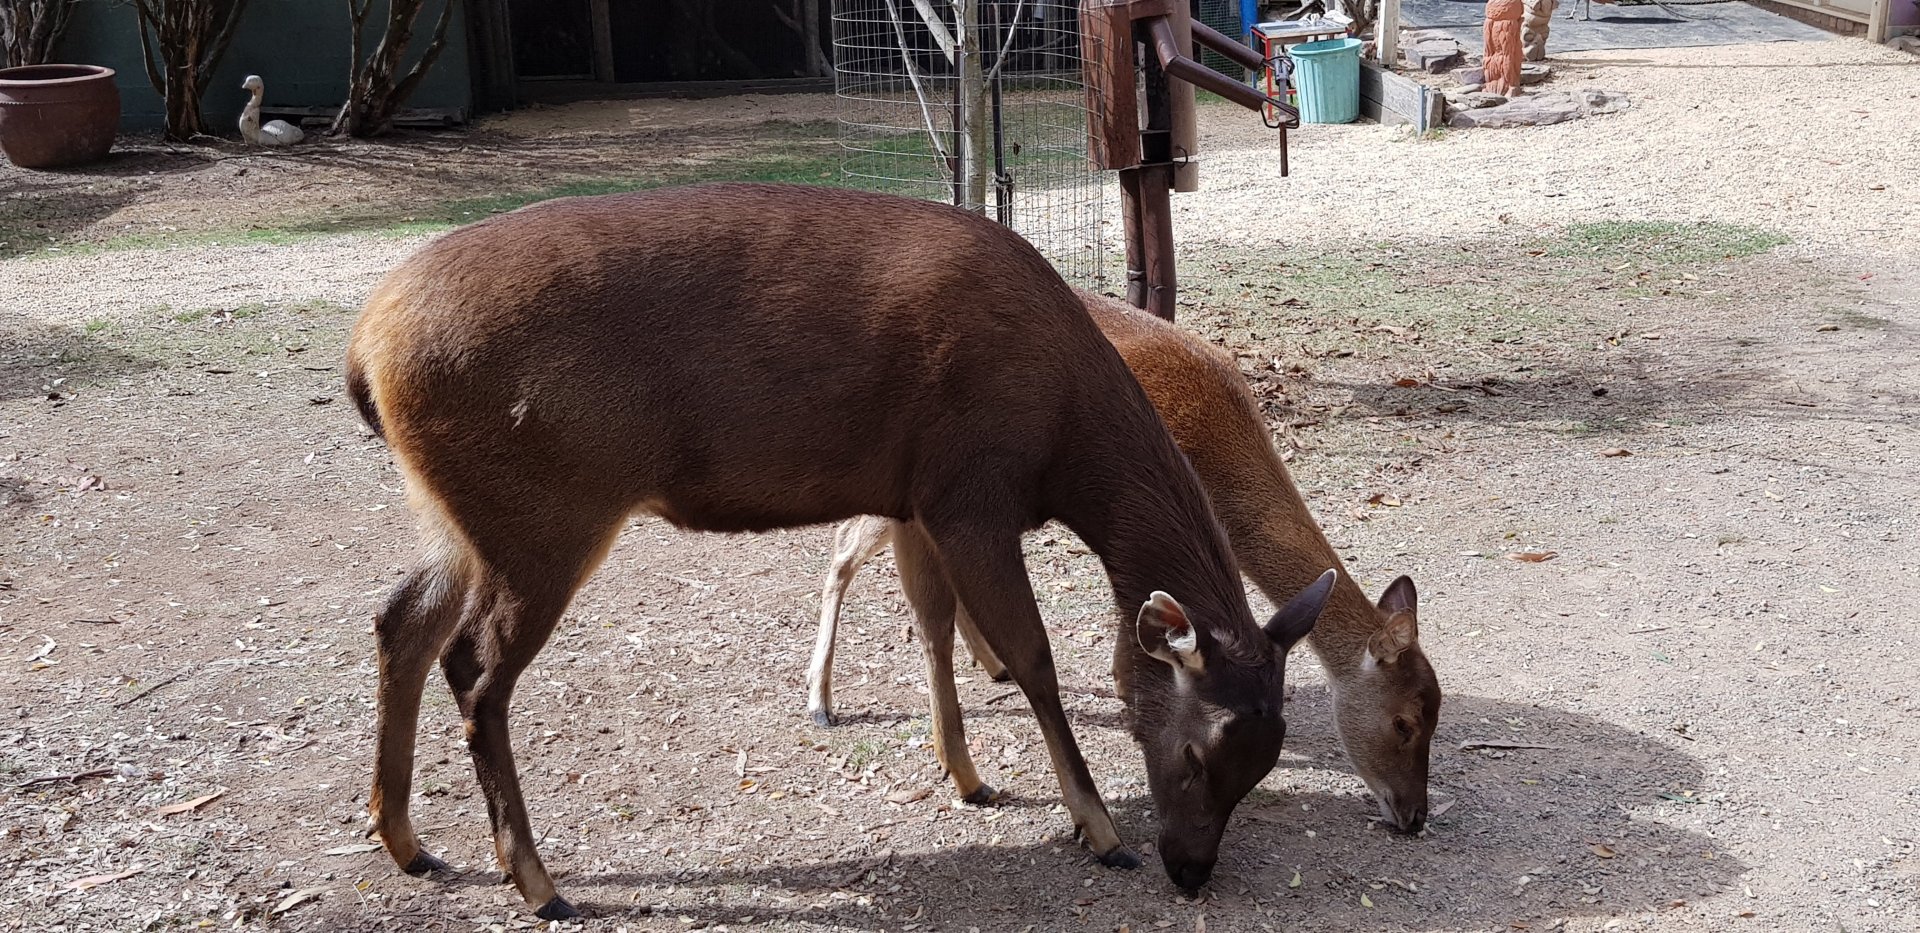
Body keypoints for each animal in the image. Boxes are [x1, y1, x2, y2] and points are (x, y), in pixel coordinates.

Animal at [344, 183, 1338, 919]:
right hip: (545, 510)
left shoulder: (914, 498)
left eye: (1266, 757)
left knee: (400, 619)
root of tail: (364, 351)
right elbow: (1033, 656)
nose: (1192, 872)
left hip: (464, 517)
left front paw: (967, 775)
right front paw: (1099, 830)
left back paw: (407, 842)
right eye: (1199, 753)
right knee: (474, 667)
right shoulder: (969, 486)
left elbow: (933, 624)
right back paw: (538, 882)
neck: (1064, 443)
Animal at [807, 290, 1441, 836]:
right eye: (1404, 722)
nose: (1415, 816)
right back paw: (821, 703)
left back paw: (992, 667)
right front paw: (1126, 687)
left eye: (1433, 714)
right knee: (843, 550)